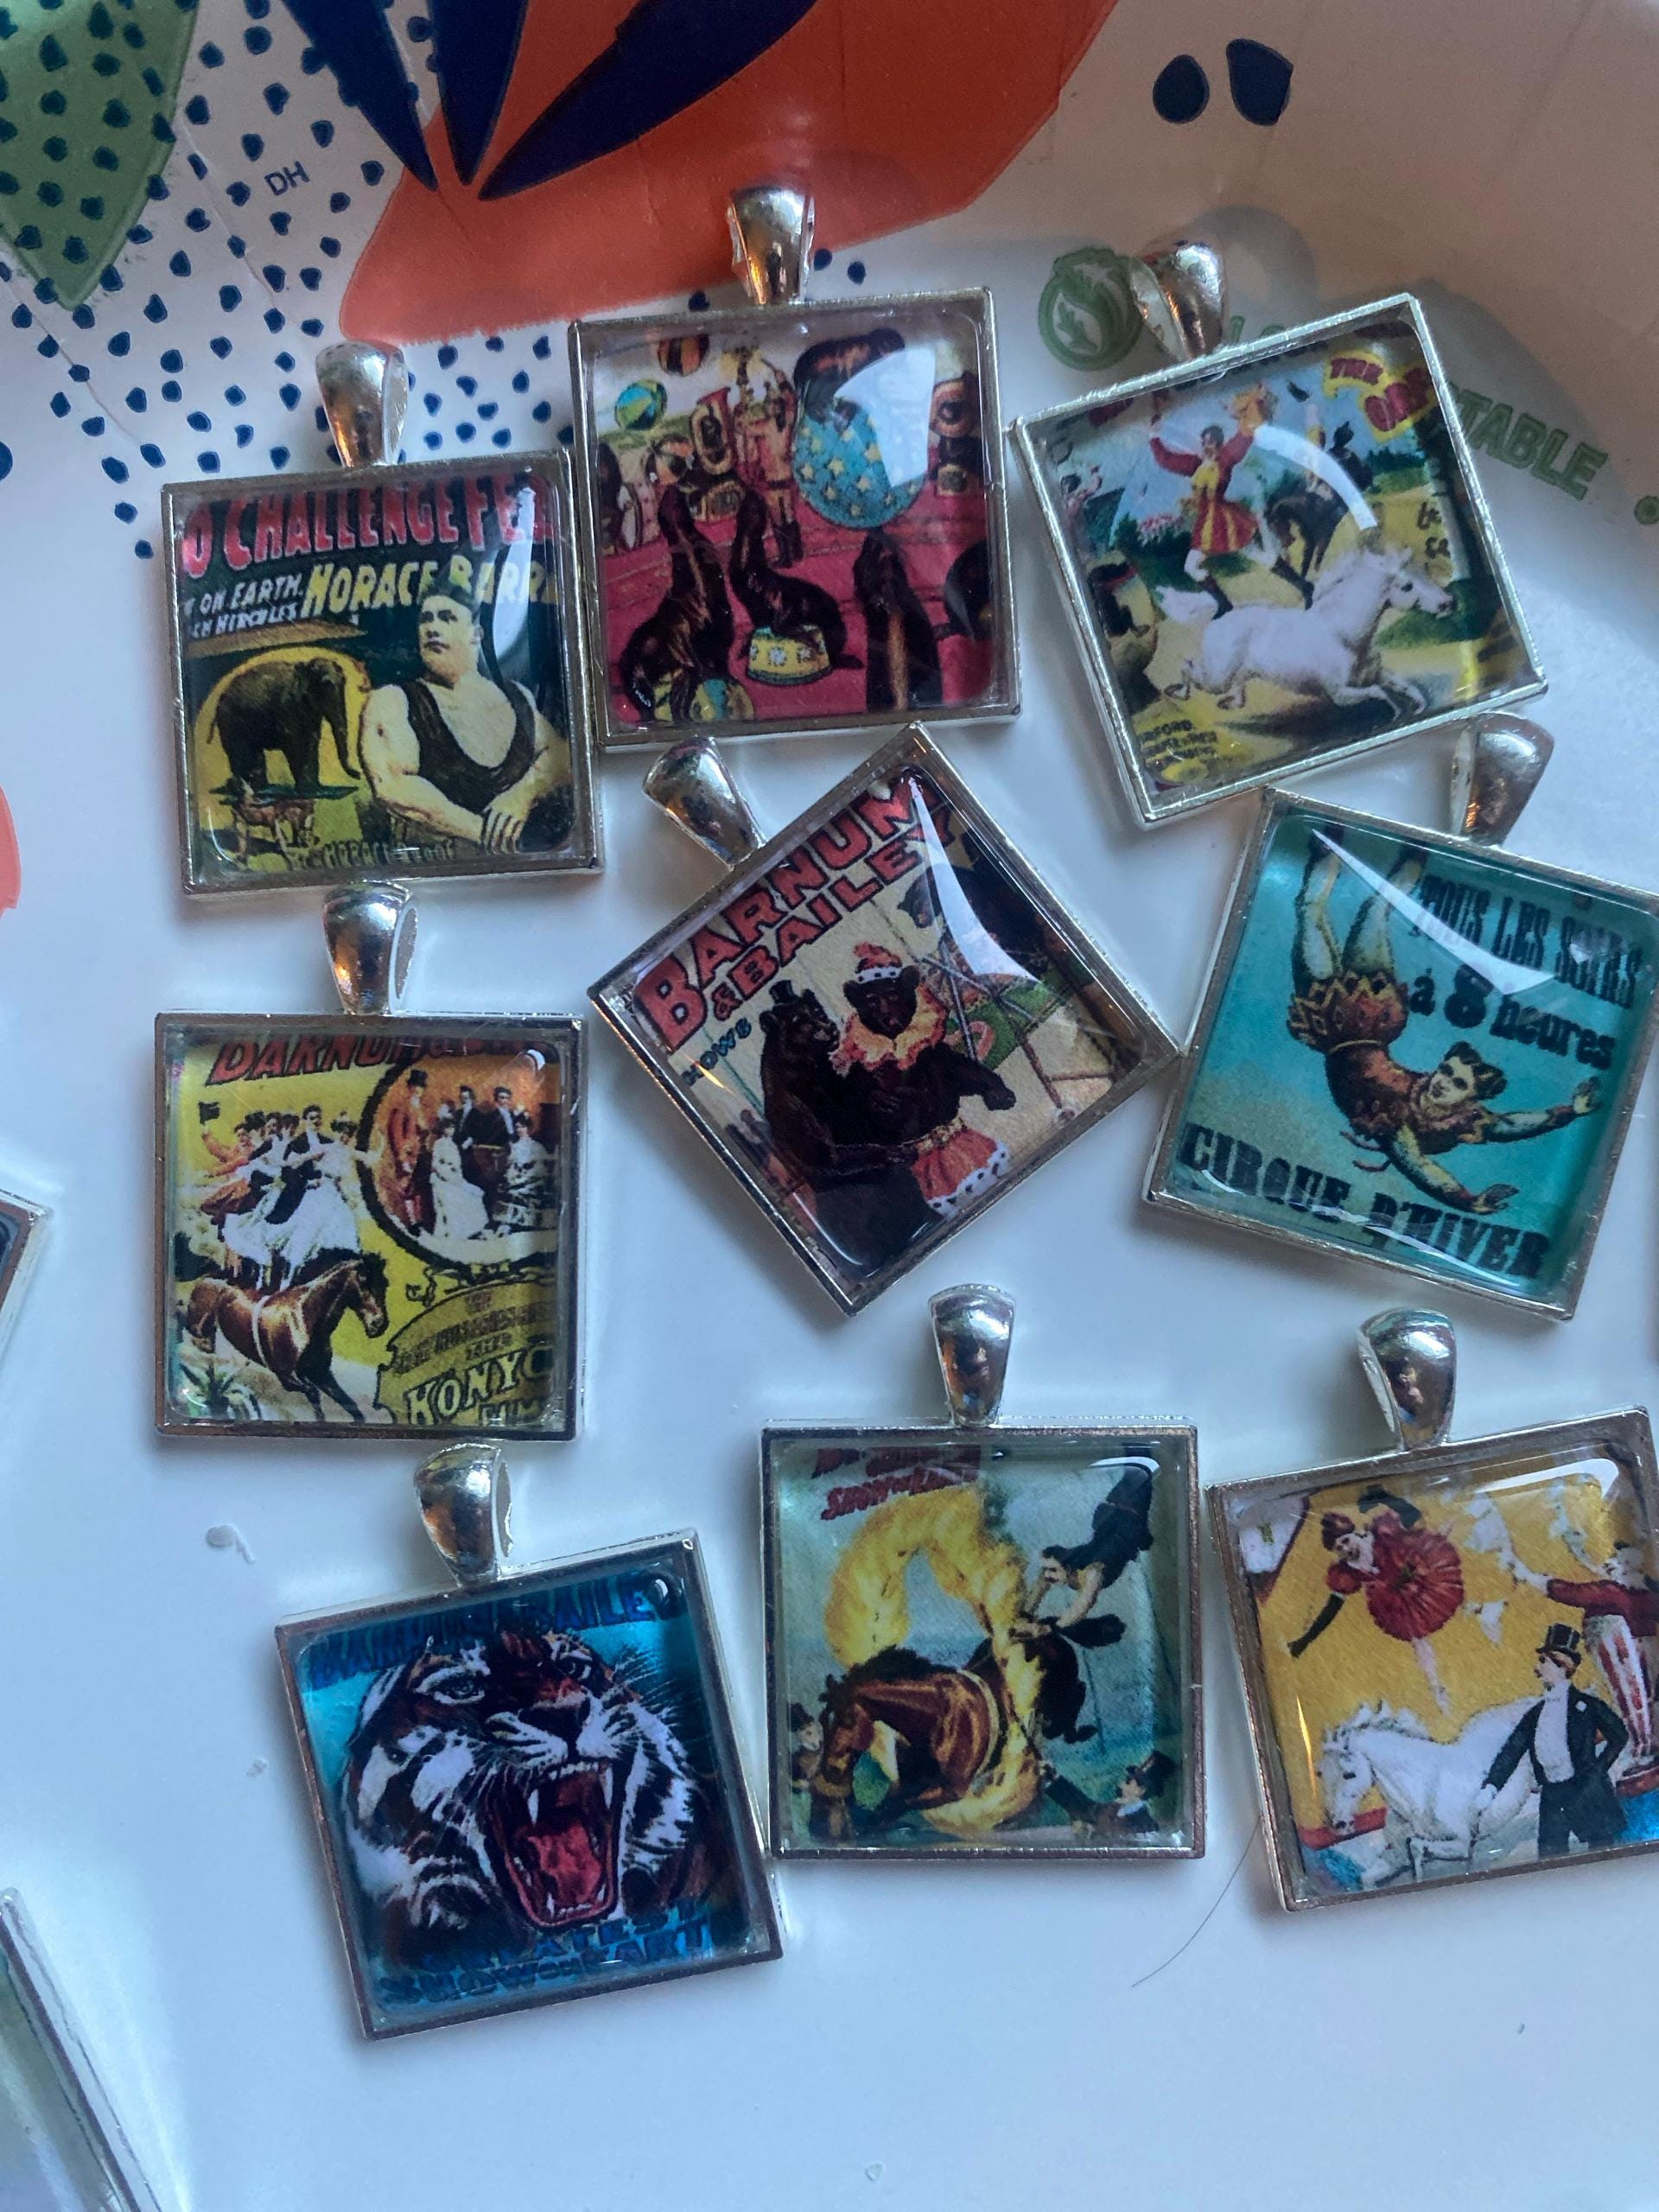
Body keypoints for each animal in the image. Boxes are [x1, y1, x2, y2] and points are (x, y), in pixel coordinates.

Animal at [182, 1251, 389, 1423]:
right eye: (363, 1280)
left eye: (385, 1283)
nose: (379, 1325)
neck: (303, 1320)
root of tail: (209, 1276)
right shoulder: (287, 1377)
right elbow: (314, 1396)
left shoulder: (321, 1373)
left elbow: (352, 1407)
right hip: (199, 1328)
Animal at [1163, 541, 1452, 719]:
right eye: (1406, 587)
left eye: (1423, 570)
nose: (1448, 603)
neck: (1342, 634)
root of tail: (1225, 607)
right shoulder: (1340, 694)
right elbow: (1380, 693)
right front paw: (1396, 713)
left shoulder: (1377, 674)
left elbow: (1407, 687)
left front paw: (1419, 708)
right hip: (1217, 677)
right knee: (1189, 666)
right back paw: (1179, 693)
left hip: (1239, 672)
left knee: (1236, 688)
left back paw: (1229, 703)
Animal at [1319, 1699, 1536, 1887]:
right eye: (1321, 1774)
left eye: (1349, 1774)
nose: (1338, 1825)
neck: (1421, 1791)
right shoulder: (1396, 1856)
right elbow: (1367, 1878)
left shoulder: (1462, 1844)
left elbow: (1416, 1847)